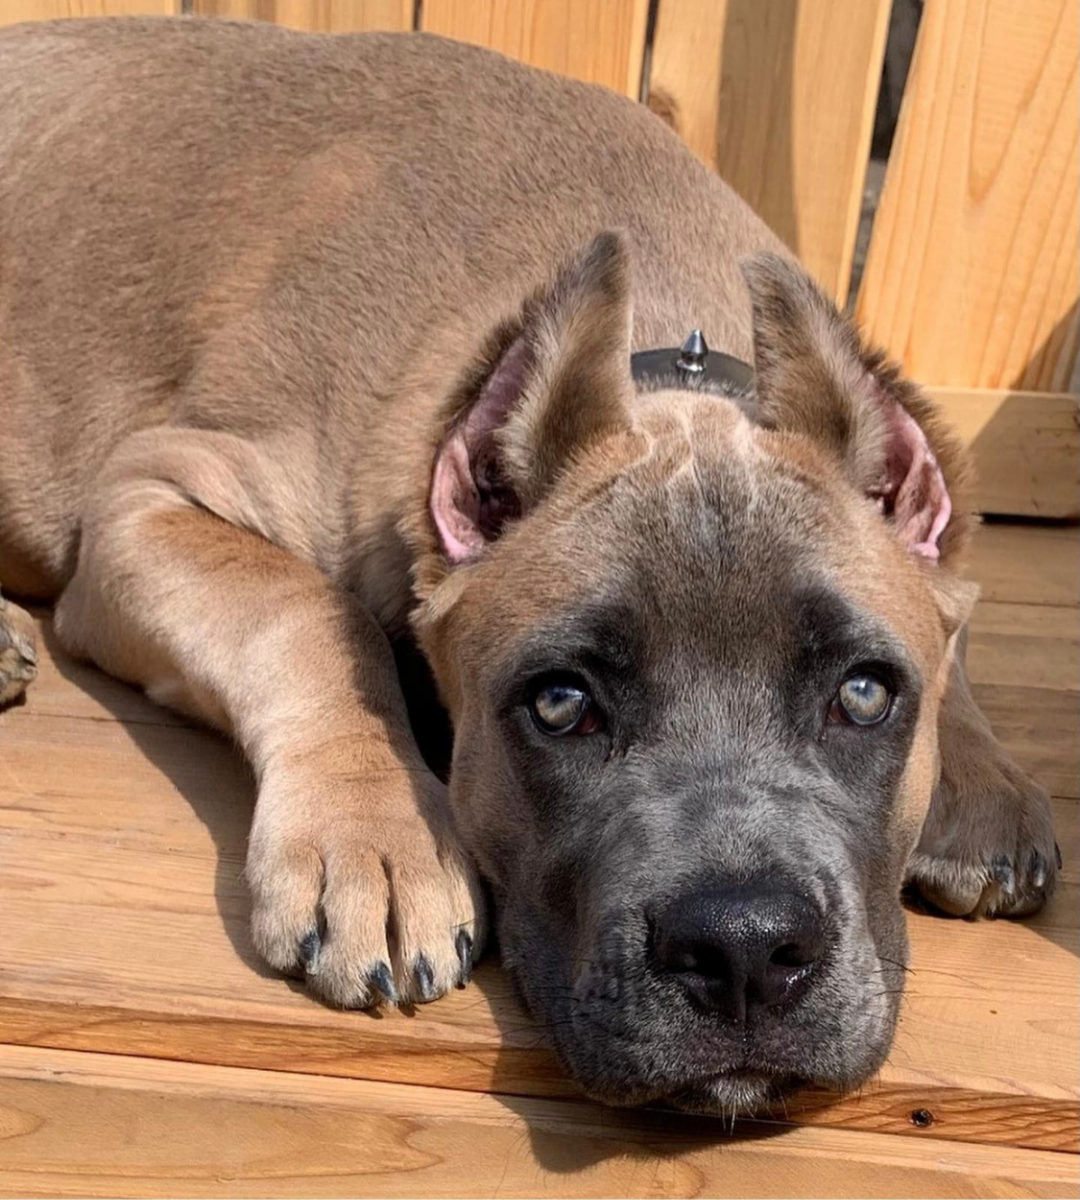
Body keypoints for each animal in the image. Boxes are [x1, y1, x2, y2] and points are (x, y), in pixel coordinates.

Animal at [0, 14, 1060, 1108]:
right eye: (559, 705)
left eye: (864, 693)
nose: (745, 949)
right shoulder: (147, 498)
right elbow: (307, 608)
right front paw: (379, 834)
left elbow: (953, 614)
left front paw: (976, 777)